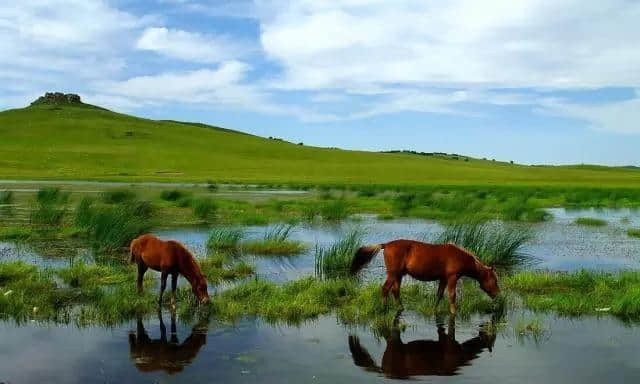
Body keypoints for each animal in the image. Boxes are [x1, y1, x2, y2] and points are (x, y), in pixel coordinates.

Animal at [350, 240, 500, 316]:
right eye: (495, 280)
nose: (498, 295)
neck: (459, 256)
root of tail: (386, 245)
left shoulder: (443, 279)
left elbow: (439, 295)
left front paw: (434, 309)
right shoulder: (452, 278)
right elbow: (452, 296)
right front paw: (453, 312)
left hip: (398, 275)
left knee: (395, 291)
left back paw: (401, 308)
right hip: (393, 274)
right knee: (385, 289)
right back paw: (384, 308)